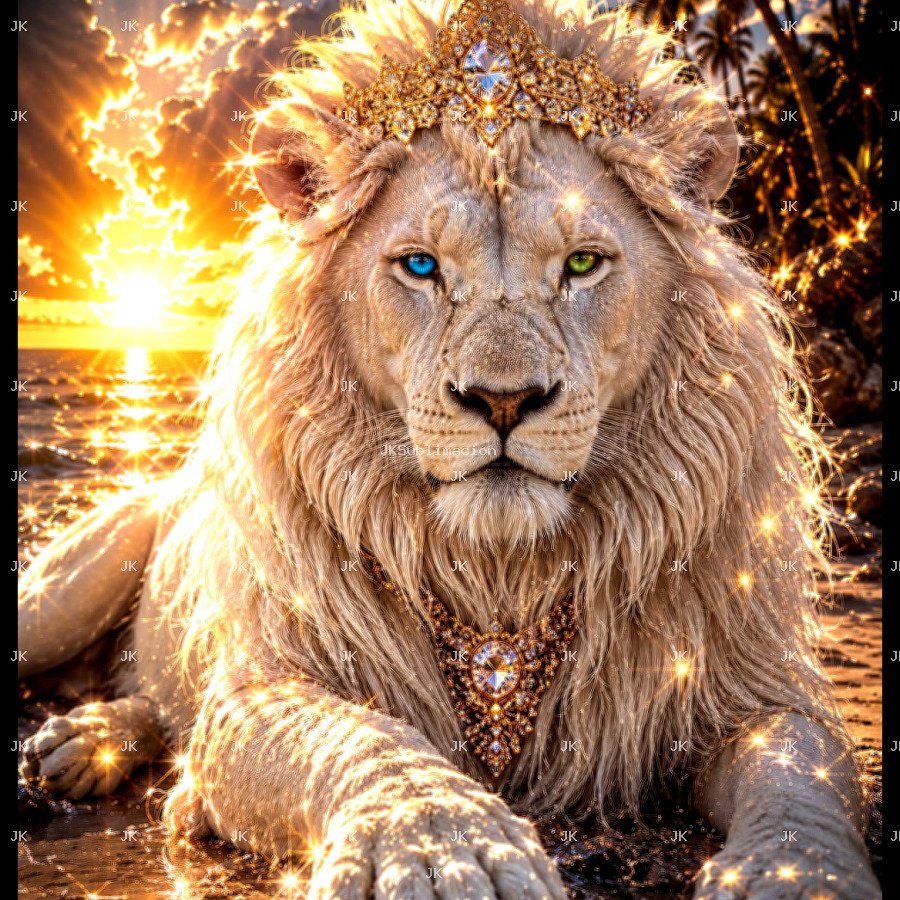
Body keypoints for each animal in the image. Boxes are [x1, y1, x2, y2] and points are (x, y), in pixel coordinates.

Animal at [18, 1, 879, 897]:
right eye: (421, 266)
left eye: (582, 263)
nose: (504, 399)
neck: (499, 572)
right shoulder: (259, 685)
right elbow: (363, 736)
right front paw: (441, 846)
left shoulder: (757, 686)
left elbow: (804, 776)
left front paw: (799, 876)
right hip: (62, 593)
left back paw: (88, 740)